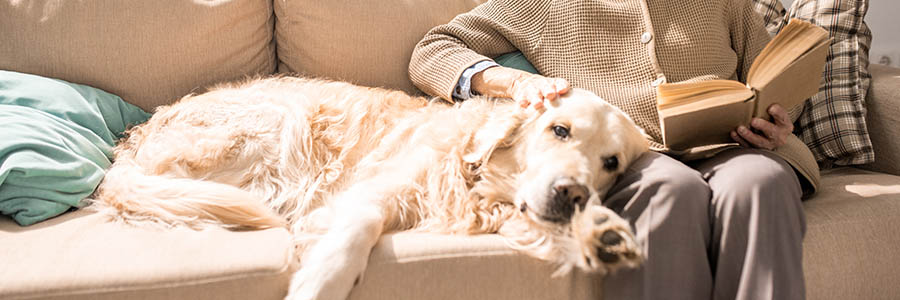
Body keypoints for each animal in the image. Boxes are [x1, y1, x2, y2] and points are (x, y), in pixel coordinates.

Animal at [93, 77, 648, 300]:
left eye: (612, 163)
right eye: (560, 129)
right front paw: (320, 283)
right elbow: (356, 227)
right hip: (280, 122)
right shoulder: (382, 188)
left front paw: (603, 234)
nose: (572, 193)